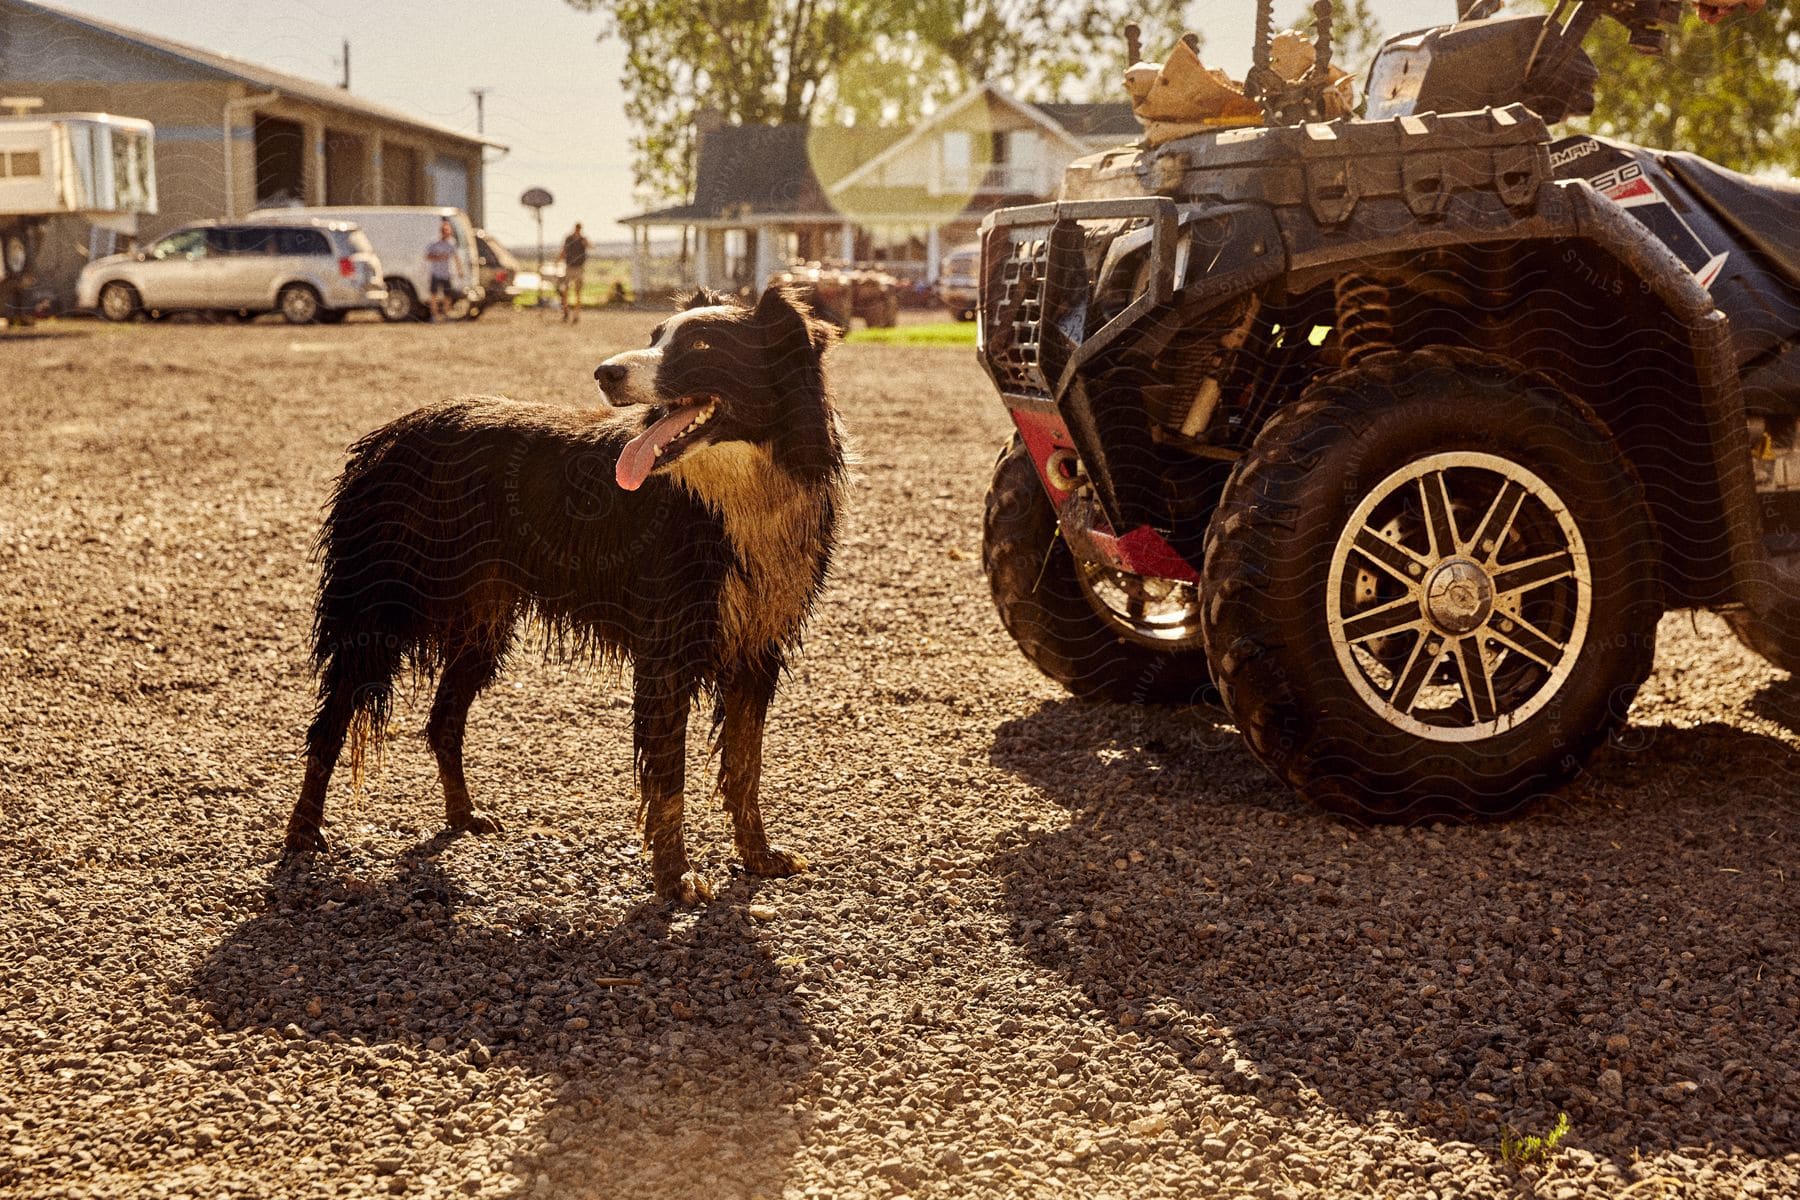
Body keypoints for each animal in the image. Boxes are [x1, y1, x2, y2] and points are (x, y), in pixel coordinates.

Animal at [284, 287, 846, 899]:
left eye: (702, 346)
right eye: (654, 336)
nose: (604, 372)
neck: (735, 488)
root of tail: (385, 437)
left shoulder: (757, 650)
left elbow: (746, 766)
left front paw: (758, 856)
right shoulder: (669, 649)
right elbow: (669, 775)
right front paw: (675, 877)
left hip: (482, 622)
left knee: (443, 720)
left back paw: (463, 816)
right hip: (380, 610)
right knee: (330, 723)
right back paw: (303, 833)